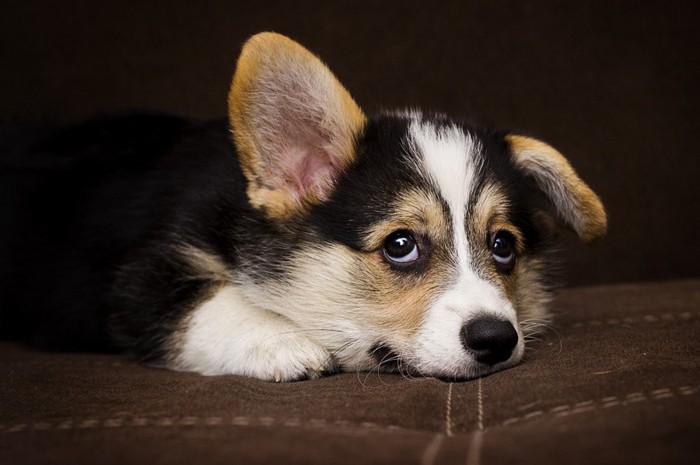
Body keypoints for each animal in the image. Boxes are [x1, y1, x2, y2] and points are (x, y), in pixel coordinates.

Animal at [0, 32, 608, 380]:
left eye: (503, 245)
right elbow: (210, 302)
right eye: (401, 245)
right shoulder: (142, 280)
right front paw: (284, 341)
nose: (496, 340)